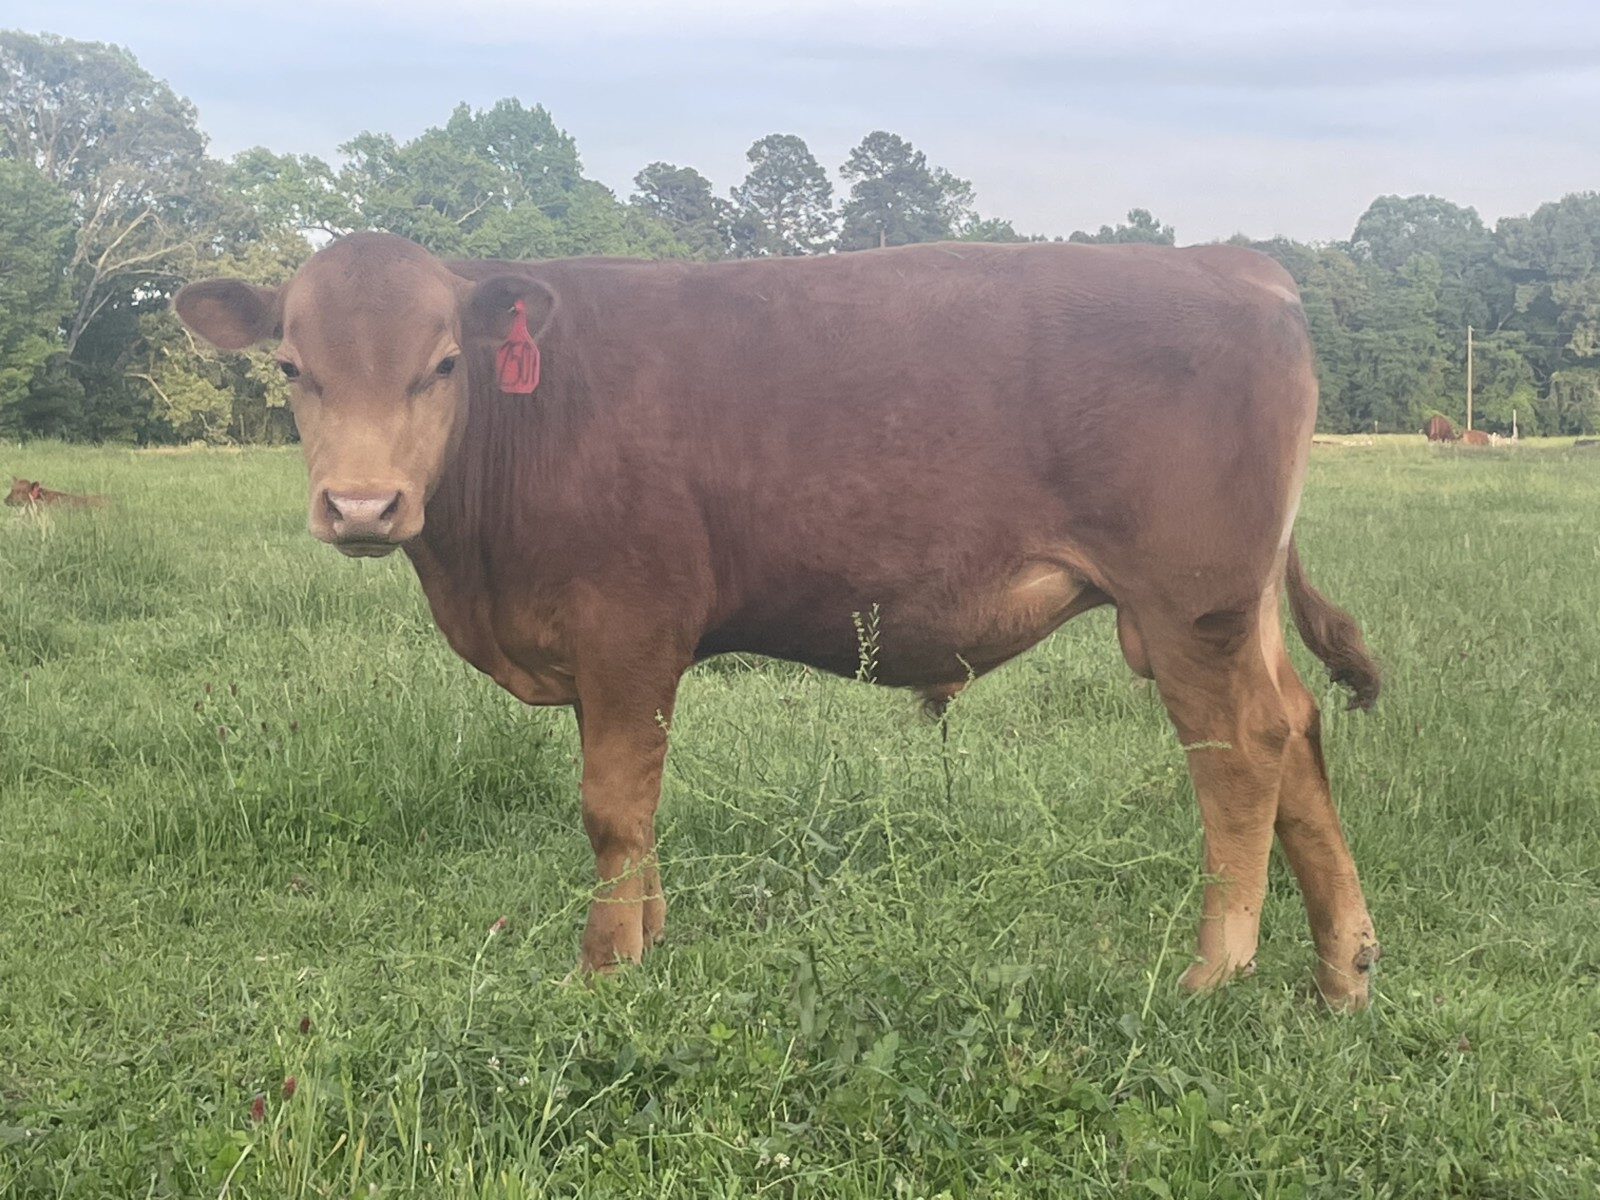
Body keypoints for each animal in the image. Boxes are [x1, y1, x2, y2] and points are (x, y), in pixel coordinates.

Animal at [175, 232, 1384, 1009]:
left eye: (443, 363)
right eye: (293, 366)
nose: (362, 506)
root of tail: (1231, 261)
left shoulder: (628, 628)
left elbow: (611, 807)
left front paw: (605, 967)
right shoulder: (605, 656)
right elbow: (634, 807)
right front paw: (650, 933)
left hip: (1189, 604)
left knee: (1243, 751)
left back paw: (1216, 971)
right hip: (1233, 608)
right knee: (1299, 729)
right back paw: (1343, 971)